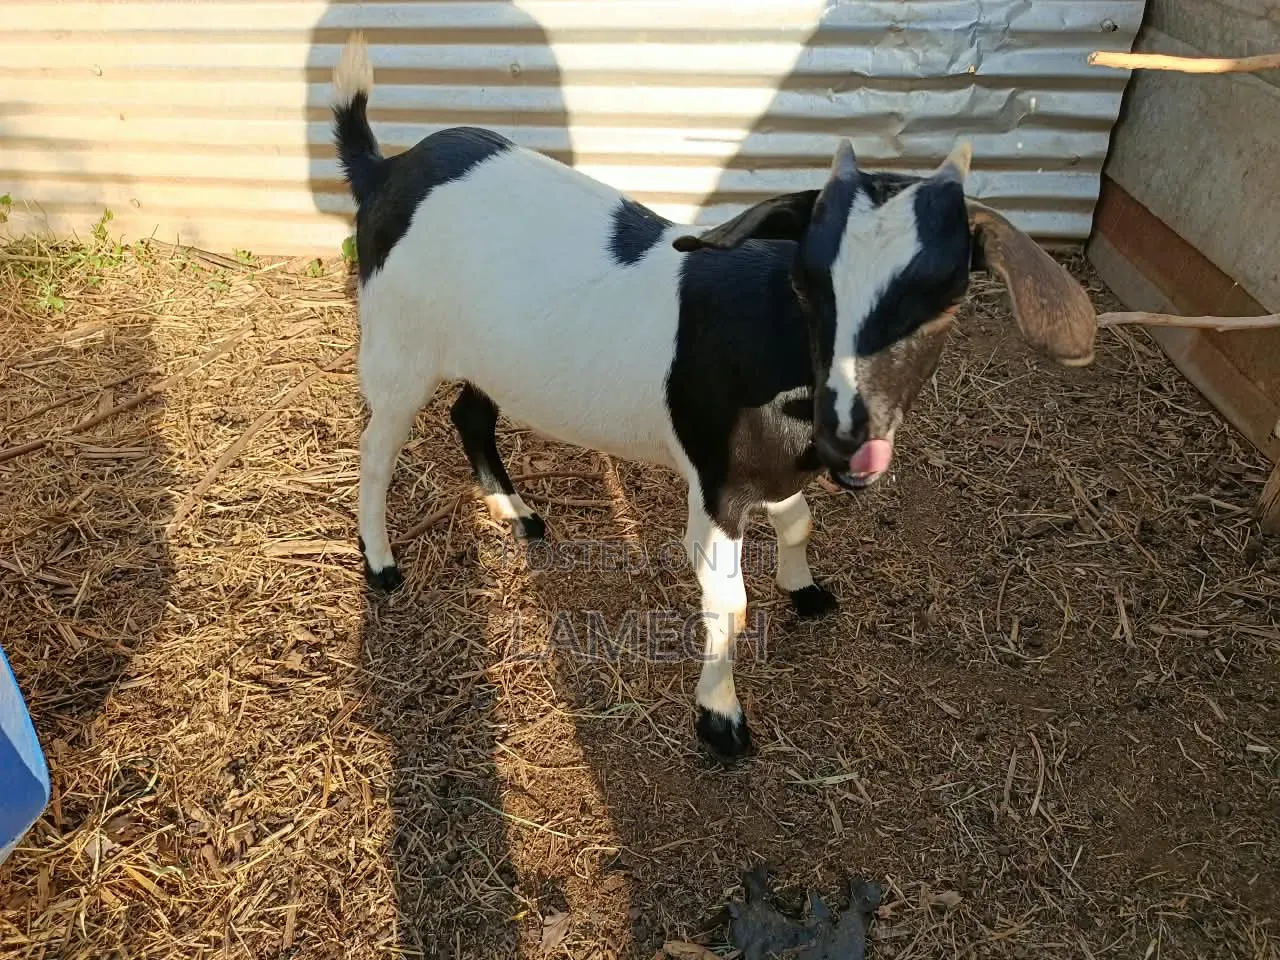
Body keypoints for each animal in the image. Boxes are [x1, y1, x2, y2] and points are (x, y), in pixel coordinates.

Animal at [330, 33, 1097, 760]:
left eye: (943, 301)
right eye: (805, 282)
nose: (848, 435)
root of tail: (386, 170)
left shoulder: (771, 467)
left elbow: (797, 523)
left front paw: (804, 589)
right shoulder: (715, 487)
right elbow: (729, 601)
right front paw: (721, 719)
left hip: (486, 354)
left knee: (470, 413)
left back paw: (516, 514)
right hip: (397, 345)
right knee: (376, 449)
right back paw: (382, 562)